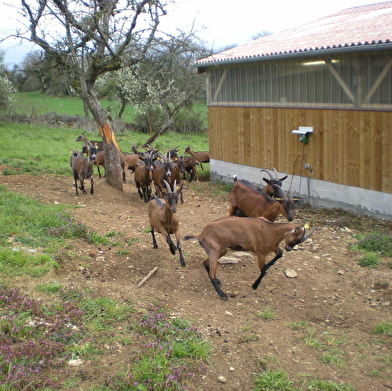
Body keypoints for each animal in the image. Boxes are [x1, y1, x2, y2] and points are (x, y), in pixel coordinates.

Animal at [184, 217, 316, 300]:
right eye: (295, 238)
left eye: (299, 241)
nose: (289, 248)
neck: (271, 230)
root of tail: (200, 235)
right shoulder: (261, 253)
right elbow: (263, 270)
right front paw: (254, 285)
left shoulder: (273, 247)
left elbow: (280, 254)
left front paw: (270, 265)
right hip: (214, 251)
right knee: (211, 272)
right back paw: (223, 295)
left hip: (221, 250)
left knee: (206, 263)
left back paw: (217, 280)